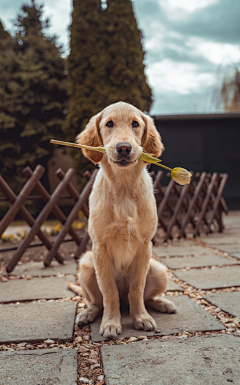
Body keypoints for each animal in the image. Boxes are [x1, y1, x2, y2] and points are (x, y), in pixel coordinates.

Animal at [75, 101, 176, 336]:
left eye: (135, 124)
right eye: (109, 124)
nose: (123, 148)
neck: (122, 189)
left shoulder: (144, 246)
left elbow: (137, 289)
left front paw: (141, 318)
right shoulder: (100, 248)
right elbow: (109, 291)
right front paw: (111, 323)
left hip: (158, 269)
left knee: (143, 297)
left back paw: (162, 303)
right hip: (86, 265)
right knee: (98, 302)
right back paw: (87, 314)